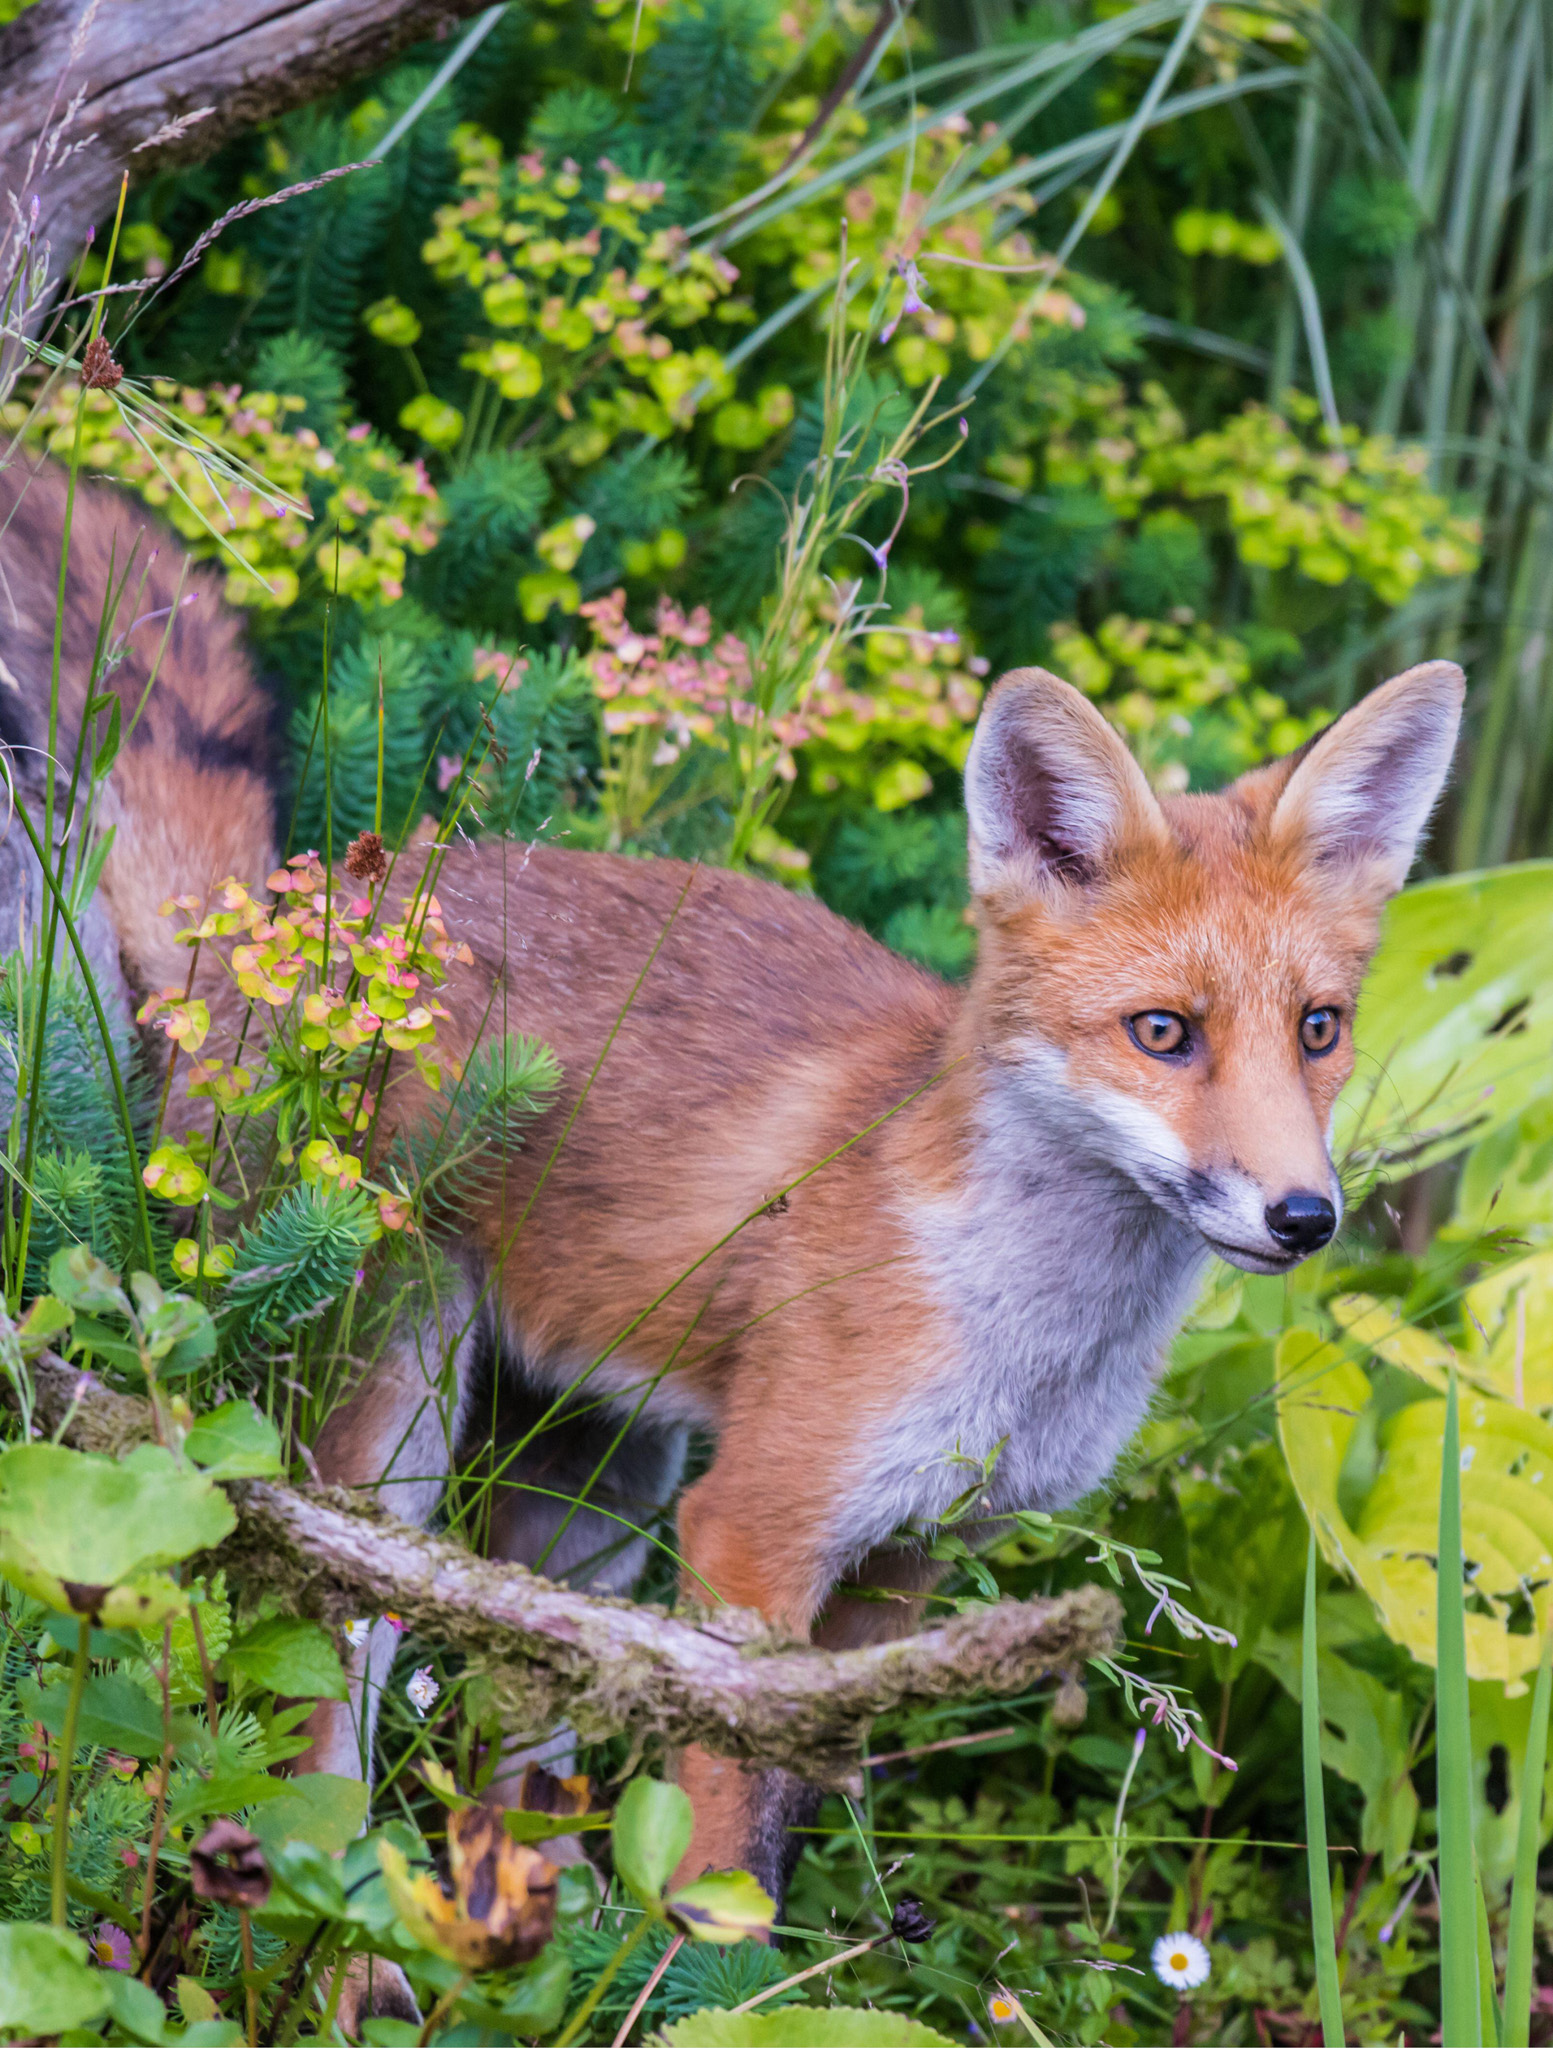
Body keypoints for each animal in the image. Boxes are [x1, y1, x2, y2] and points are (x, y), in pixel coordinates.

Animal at [0, 468, 1466, 1933]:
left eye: (1320, 1028)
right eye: (1163, 1032)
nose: (1303, 1216)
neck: (1027, 1334)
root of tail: (290, 923)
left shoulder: (908, 1560)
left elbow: (805, 1800)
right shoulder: (755, 1532)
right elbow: (726, 1855)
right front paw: (717, 1959)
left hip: (596, 1494)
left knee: (520, 1715)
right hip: (387, 1435)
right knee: (323, 1708)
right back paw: (362, 1941)